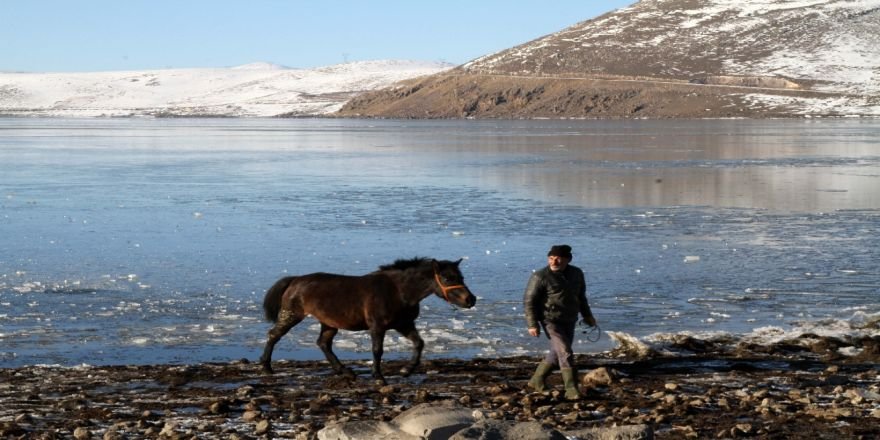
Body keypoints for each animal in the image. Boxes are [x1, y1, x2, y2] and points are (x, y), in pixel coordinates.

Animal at [258, 256, 478, 384]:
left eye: (461, 276)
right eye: (448, 278)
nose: (471, 299)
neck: (398, 291)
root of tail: (295, 280)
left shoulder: (404, 324)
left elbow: (419, 343)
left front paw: (406, 371)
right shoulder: (378, 326)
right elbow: (377, 350)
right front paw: (378, 377)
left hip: (329, 323)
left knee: (323, 343)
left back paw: (346, 372)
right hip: (291, 314)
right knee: (274, 335)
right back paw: (266, 367)